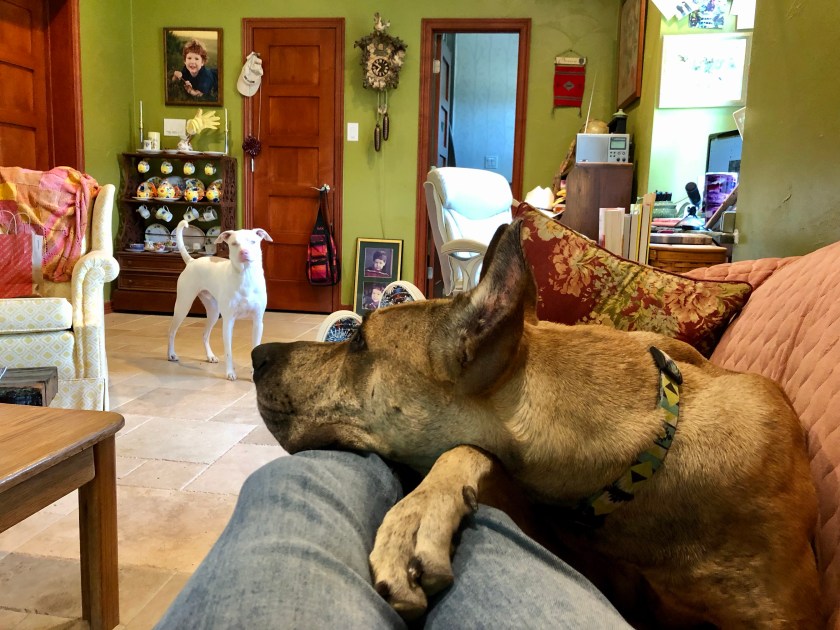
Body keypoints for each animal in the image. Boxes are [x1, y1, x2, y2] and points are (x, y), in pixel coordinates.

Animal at [168, 220, 272, 380]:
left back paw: (210, 356)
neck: (245, 276)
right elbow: (228, 352)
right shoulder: (228, 322)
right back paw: (171, 354)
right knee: (172, 331)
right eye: (234, 243)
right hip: (183, 305)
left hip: (213, 312)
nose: (244, 253)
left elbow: (255, 346)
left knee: (205, 334)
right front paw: (230, 373)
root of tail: (191, 261)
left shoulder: (257, 322)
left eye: (253, 242)